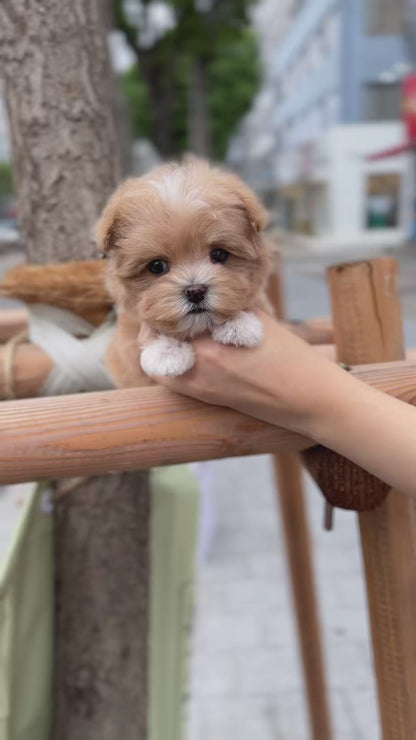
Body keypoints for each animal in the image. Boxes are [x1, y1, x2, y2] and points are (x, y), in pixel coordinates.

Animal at [95, 158, 272, 384]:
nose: (195, 291)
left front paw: (238, 325)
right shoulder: (126, 342)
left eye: (219, 254)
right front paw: (166, 353)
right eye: (157, 266)